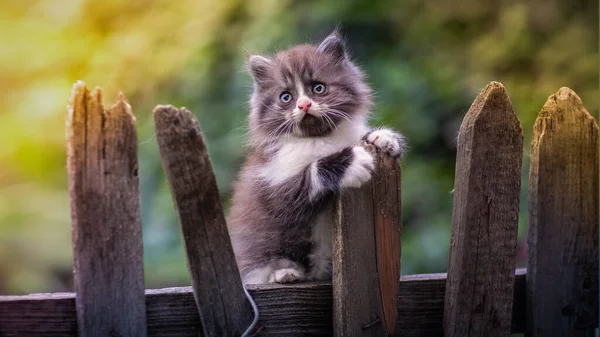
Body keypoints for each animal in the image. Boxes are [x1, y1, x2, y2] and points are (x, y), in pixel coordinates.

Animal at [227, 30, 406, 284]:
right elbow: (307, 177)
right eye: (286, 97)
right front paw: (351, 162)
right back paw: (284, 272)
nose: (303, 104)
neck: (318, 139)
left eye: (318, 88)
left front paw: (383, 138)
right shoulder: (271, 179)